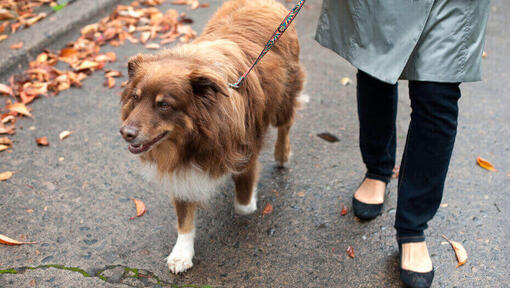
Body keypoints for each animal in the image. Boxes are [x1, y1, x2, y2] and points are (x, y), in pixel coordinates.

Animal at [118, 0, 302, 274]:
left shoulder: (245, 151)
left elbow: (243, 204)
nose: (125, 133)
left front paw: (249, 198)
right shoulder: (181, 170)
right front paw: (182, 253)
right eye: (135, 98)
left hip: (284, 96)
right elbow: (184, 216)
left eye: (164, 105)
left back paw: (282, 154)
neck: (194, 139)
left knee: (285, 126)